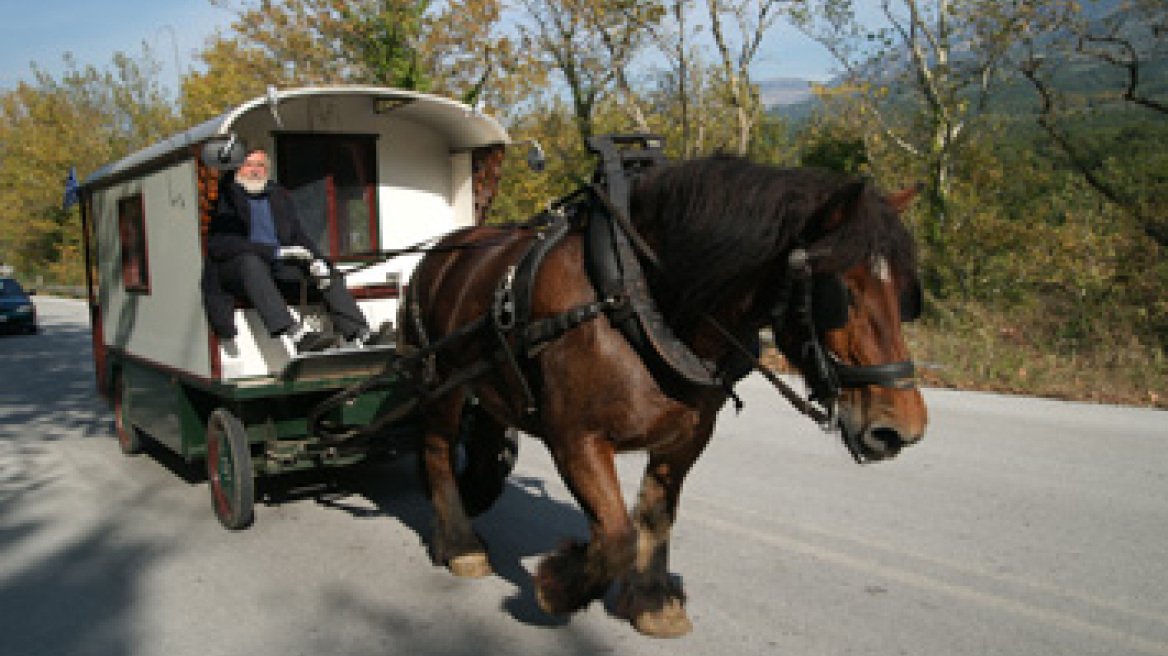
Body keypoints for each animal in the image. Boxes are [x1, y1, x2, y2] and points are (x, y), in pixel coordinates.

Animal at [397, 155, 925, 634]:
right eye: (841, 293)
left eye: (905, 292)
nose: (902, 428)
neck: (635, 298)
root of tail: (438, 254)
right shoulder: (575, 439)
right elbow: (616, 536)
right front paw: (557, 586)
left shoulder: (688, 435)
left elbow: (655, 516)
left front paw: (651, 602)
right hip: (441, 381)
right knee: (437, 447)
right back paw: (461, 545)